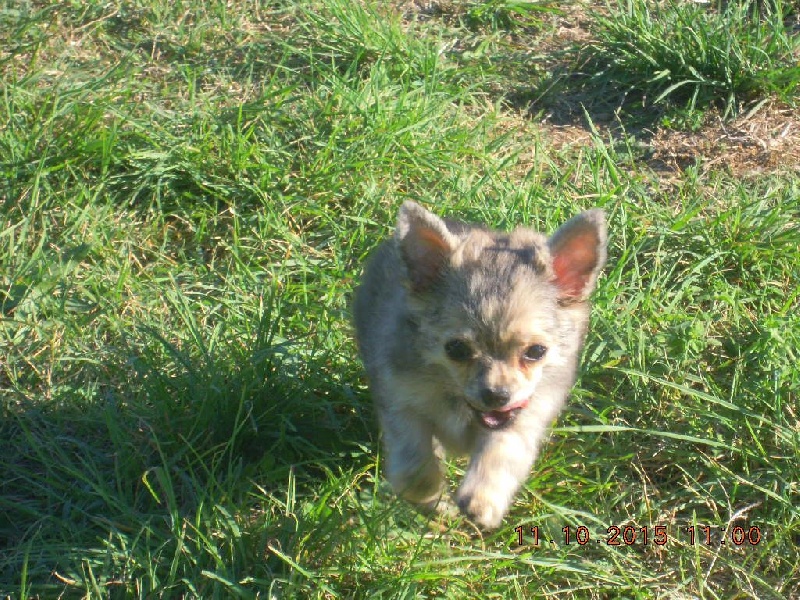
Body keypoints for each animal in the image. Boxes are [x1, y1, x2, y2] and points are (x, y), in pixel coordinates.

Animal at [353, 201, 607, 529]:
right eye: (456, 349)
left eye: (536, 352)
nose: (497, 395)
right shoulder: (402, 403)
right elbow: (415, 472)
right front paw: (437, 505)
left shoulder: (523, 417)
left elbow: (500, 453)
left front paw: (481, 501)